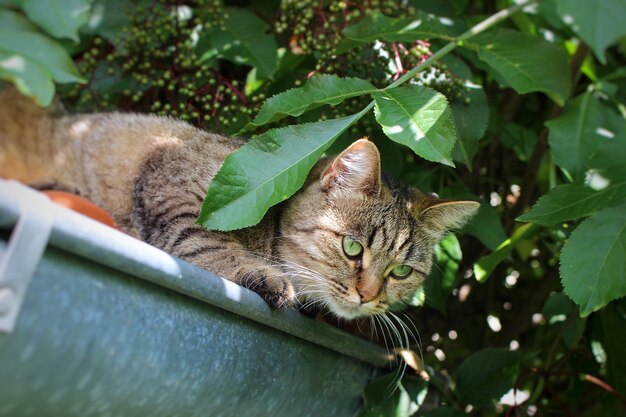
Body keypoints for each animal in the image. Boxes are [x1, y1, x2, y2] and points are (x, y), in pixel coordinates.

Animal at [1, 88, 478, 318]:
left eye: (401, 273)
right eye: (352, 248)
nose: (368, 296)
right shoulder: (174, 183)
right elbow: (210, 243)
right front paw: (260, 273)